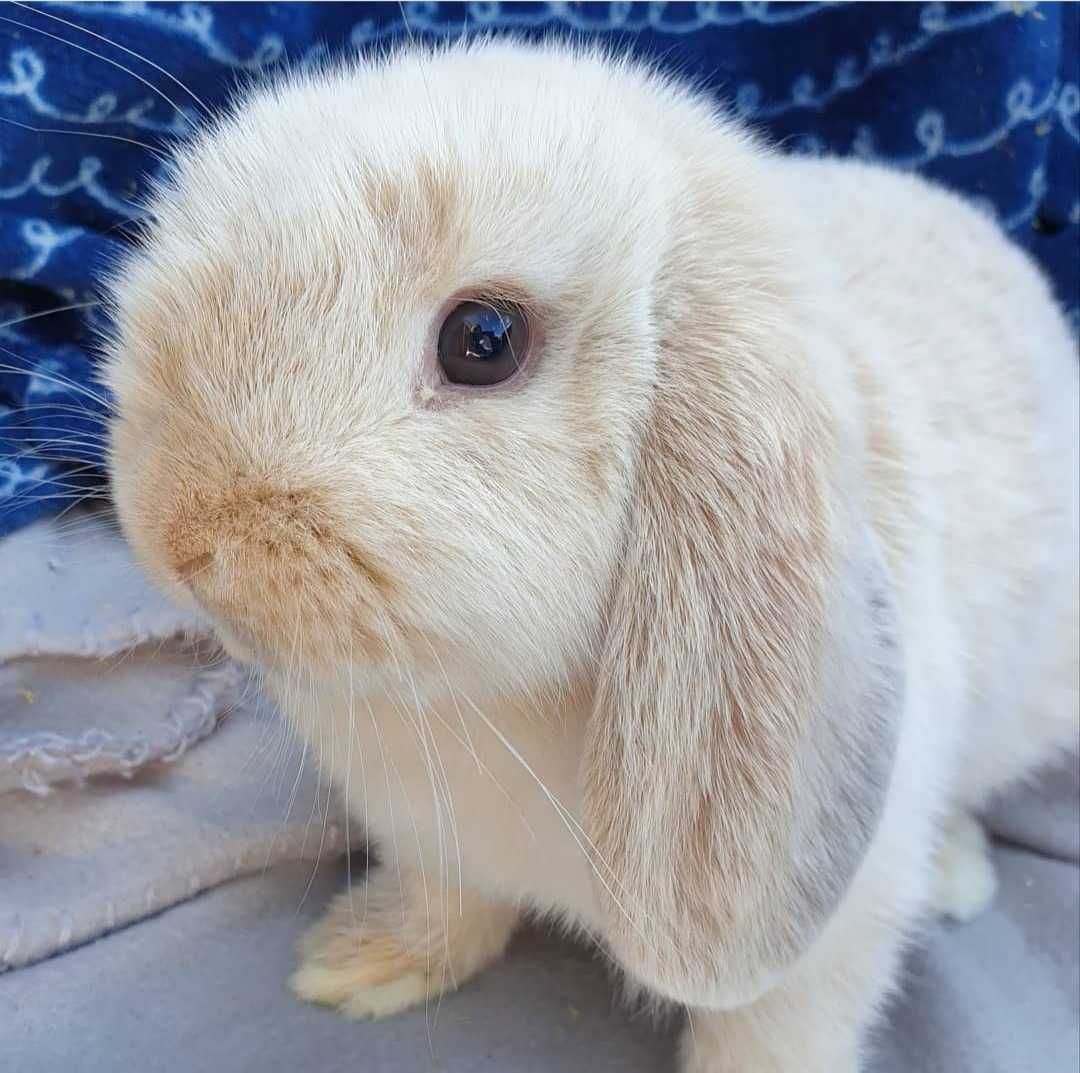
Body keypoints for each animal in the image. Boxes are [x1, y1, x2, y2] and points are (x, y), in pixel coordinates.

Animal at [101, 39, 1080, 1070]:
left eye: (483, 340)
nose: (179, 535)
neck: (480, 710)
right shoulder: (431, 839)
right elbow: (449, 906)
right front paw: (360, 964)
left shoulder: (829, 939)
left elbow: (775, 1031)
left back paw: (956, 870)